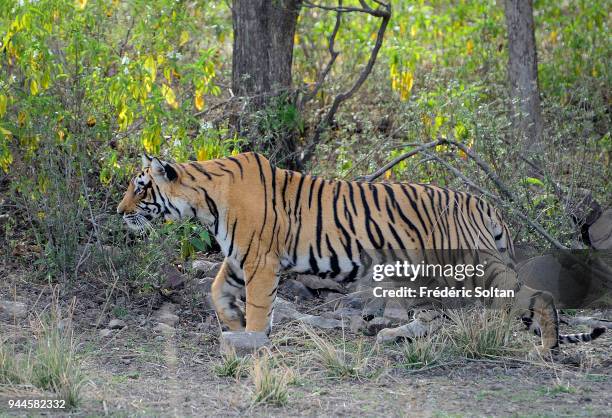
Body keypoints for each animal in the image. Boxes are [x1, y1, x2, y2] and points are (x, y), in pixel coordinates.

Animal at [117, 152, 604, 354]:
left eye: (140, 187)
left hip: (473, 268)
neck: (204, 202)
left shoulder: (259, 261)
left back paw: (547, 348)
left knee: (535, 297)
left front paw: (249, 338)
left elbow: (257, 307)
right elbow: (217, 291)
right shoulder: (240, 260)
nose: (119, 212)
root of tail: (484, 202)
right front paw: (234, 324)